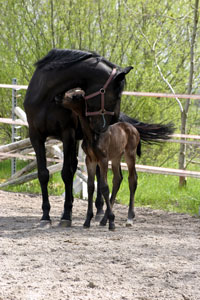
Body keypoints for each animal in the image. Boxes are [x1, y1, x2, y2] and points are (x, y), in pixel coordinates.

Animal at [58, 88, 141, 230]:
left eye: (75, 96)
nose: (57, 98)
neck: (93, 135)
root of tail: (134, 129)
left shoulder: (103, 159)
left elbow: (104, 187)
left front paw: (112, 222)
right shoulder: (90, 160)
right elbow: (91, 186)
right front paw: (87, 221)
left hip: (130, 154)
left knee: (132, 179)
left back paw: (129, 217)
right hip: (116, 157)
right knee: (118, 179)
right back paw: (104, 220)